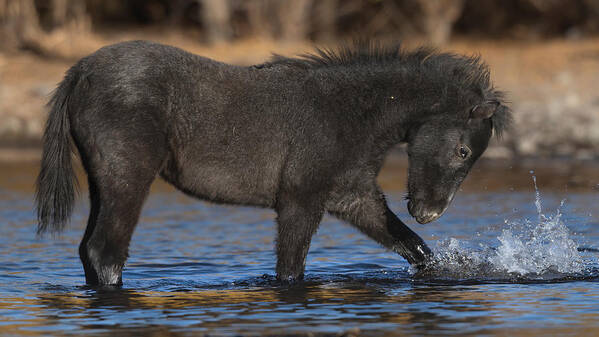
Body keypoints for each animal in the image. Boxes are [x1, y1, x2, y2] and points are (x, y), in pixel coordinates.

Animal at [34, 40, 510, 284]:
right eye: (463, 151)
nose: (430, 212)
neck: (352, 112)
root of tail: (79, 70)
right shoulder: (300, 200)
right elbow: (290, 270)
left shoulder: (352, 196)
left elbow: (415, 247)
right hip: (129, 175)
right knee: (105, 251)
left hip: (102, 179)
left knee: (89, 250)